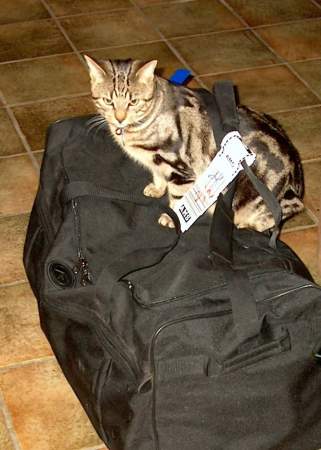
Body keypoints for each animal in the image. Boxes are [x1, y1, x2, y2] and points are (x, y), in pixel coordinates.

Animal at [82, 55, 302, 232]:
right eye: (108, 101)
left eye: (133, 102)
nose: (119, 118)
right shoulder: (158, 162)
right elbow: (158, 177)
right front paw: (156, 189)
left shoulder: (179, 168)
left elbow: (177, 200)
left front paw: (172, 219)